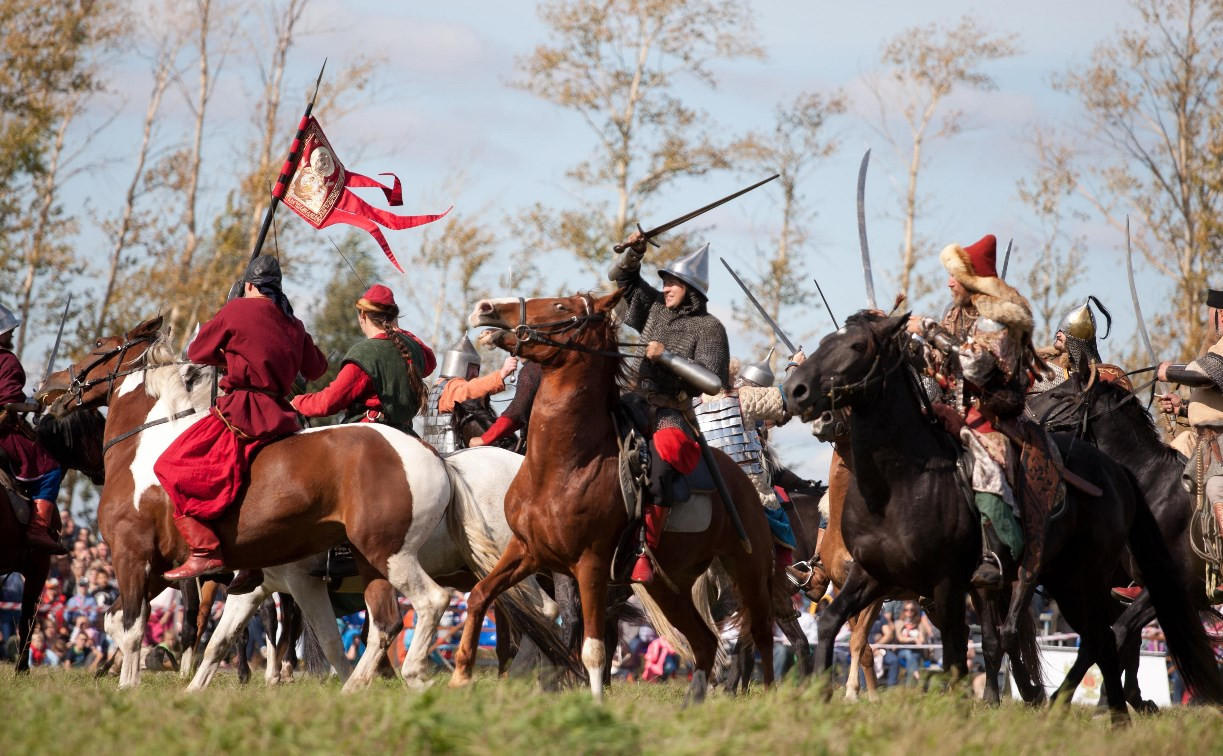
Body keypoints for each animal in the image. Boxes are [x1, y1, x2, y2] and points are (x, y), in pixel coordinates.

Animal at [454, 289, 777, 699]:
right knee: (706, 642)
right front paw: (461, 673)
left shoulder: (589, 565)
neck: (565, 463)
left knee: (762, 633)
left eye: (560, 306)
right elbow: (481, 595)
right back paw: (693, 700)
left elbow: (592, 647)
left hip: (747, 568)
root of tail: (743, 478)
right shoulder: (525, 551)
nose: (486, 309)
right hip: (668, 585)